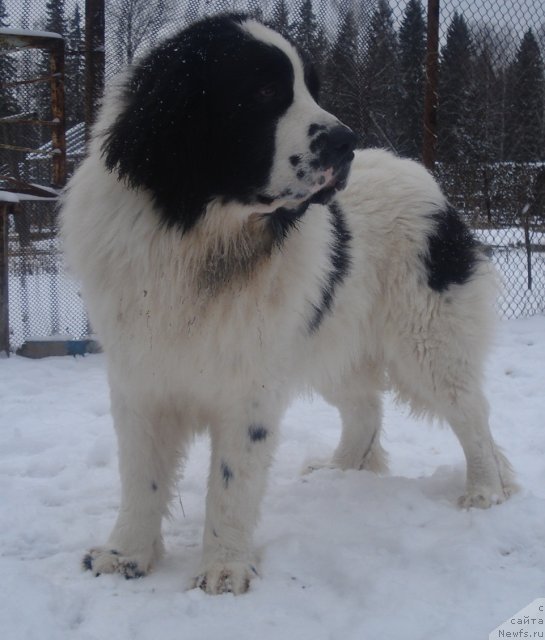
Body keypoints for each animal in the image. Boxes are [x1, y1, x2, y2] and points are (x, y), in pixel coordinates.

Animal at [61, 13, 516, 596]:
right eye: (262, 92)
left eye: (311, 89)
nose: (345, 141)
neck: (200, 239)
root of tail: (429, 184)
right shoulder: (140, 375)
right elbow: (142, 476)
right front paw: (125, 555)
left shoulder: (250, 382)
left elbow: (231, 481)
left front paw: (224, 567)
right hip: (331, 340)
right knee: (365, 406)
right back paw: (343, 469)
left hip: (428, 338)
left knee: (471, 411)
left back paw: (484, 489)